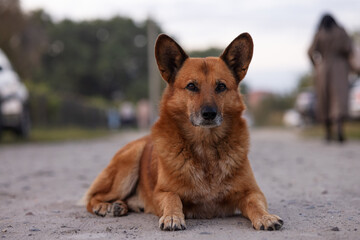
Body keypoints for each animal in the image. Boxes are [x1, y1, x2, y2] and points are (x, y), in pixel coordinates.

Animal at [82, 33, 284, 231]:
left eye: (221, 86)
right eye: (191, 86)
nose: (209, 114)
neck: (206, 147)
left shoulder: (252, 192)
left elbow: (255, 204)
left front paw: (265, 217)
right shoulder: (160, 192)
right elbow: (173, 197)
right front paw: (172, 217)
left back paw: (120, 205)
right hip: (130, 161)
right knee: (93, 197)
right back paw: (106, 206)